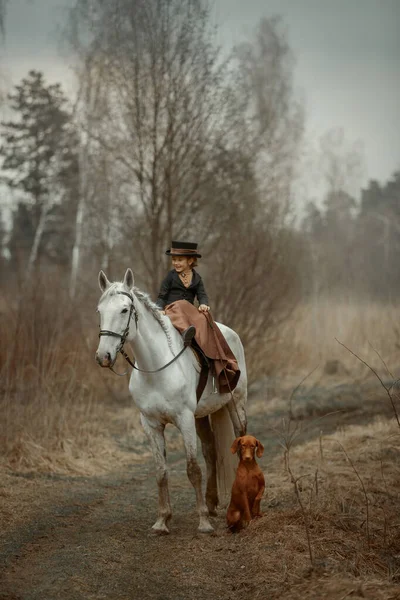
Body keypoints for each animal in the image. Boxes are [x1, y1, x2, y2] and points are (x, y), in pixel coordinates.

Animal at [96, 270, 247, 532]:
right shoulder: (151, 424)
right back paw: (211, 502)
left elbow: (192, 469)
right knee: (210, 451)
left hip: (235, 404)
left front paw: (203, 523)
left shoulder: (184, 419)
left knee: (242, 443)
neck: (156, 368)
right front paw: (162, 520)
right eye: (100, 310)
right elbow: (161, 471)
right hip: (201, 416)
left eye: (125, 310)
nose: (103, 357)